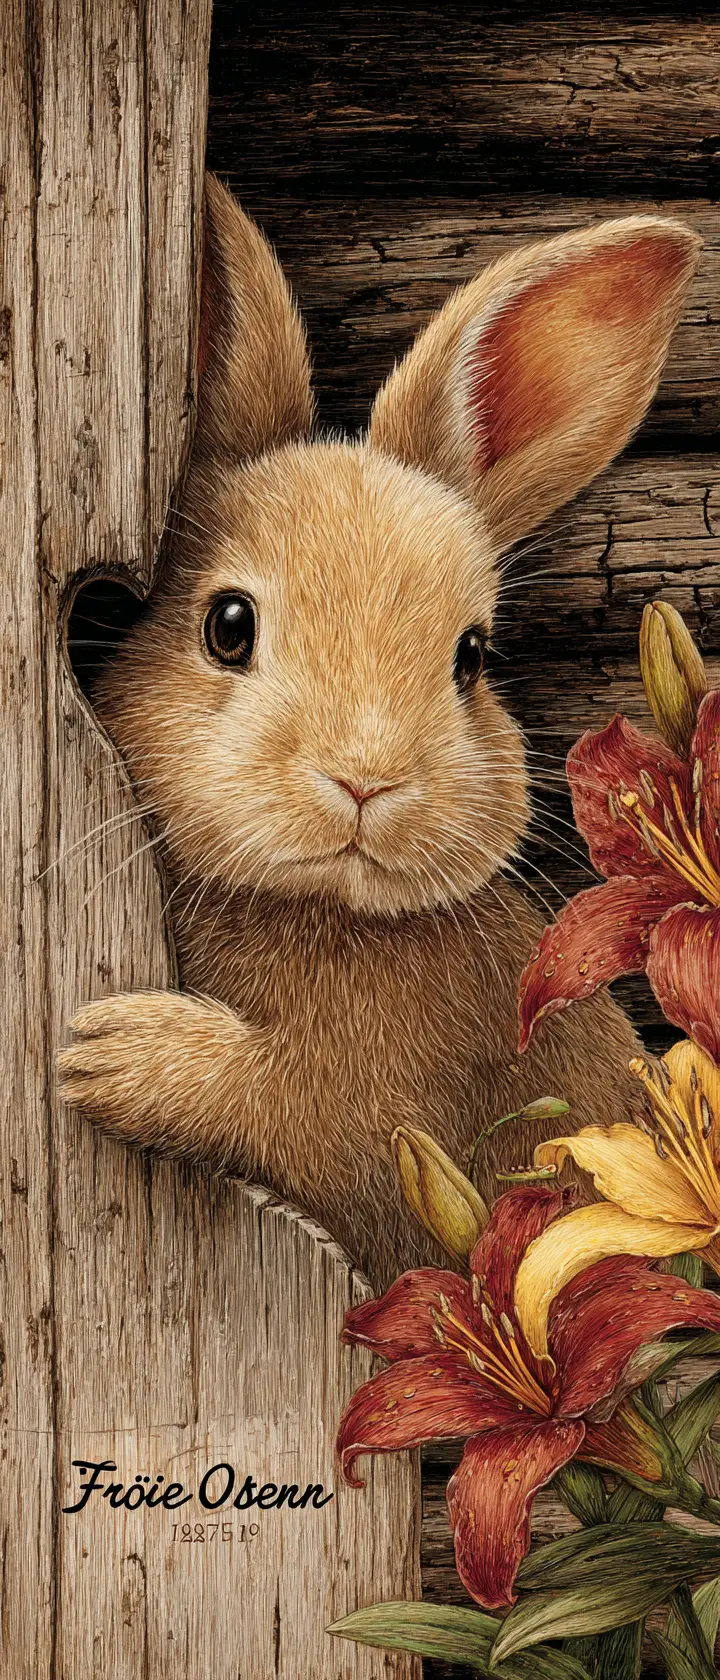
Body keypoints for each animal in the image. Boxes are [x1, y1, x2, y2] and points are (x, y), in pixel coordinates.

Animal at [58, 176, 700, 1290]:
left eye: (470, 656)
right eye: (229, 626)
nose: (368, 782)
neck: (323, 910)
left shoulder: (379, 1117)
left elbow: (280, 1100)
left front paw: (108, 1056)